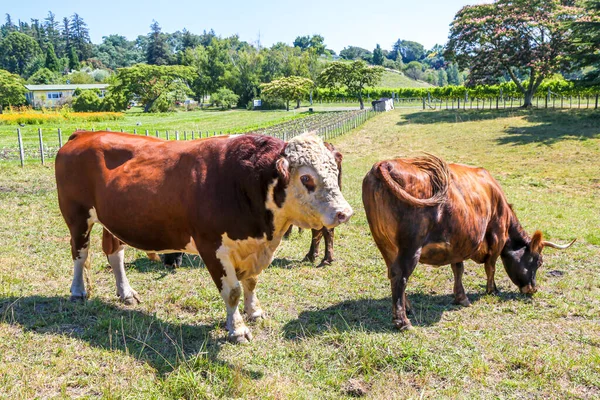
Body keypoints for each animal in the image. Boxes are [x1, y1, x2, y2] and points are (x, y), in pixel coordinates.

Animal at [55, 130, 352, 340]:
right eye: (306, 178)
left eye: (334, 171)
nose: (344, 212)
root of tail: (84, 134)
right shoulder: (212, 247)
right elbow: (232, 291)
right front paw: (237, 329)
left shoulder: (254, 249)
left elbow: (251, 283)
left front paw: (254, 312)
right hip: (77, 217)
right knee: (80, 254)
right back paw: (78, 291)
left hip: (112, 219)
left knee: (114, 253)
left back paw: (126, 293)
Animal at [364, 155, 576, 330]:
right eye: (538, 262)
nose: (533, 288)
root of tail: (385, 163)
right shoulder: (497, 235)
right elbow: (491, 267)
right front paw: (492, 290)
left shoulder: (460, 240)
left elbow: (458, 268)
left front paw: (461, 297)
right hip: (410, 248)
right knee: (400, 276)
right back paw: (403, 321)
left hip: (385, 245)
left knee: (393, 273)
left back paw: (408, 308)